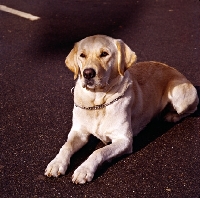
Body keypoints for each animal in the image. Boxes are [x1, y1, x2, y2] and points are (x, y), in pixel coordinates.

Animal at [44, 34, 199, 184]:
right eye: (82, 55)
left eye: (104, 54)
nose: (87, 73)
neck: (98, 103)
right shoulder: (79, 132)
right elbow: (66, 146)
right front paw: (56, 163)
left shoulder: (124, 140)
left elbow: (99, 152)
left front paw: (84, 170)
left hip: (179, 95)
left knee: (191, 109)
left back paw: (171, 116)